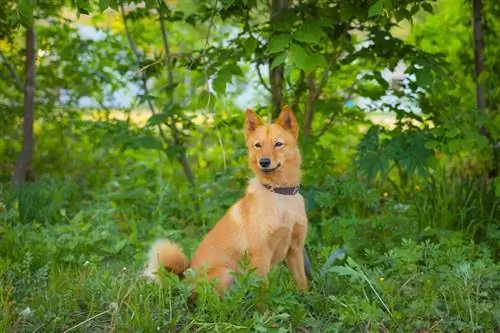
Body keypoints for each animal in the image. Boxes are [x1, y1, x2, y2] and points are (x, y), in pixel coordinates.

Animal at [143, 105, 308, 294]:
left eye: (278, 144)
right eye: (258, 145)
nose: (264, 162)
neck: (279, 194)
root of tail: (184, 279)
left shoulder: (295, 250)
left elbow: (302, 282)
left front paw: (308, 299)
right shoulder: (261, 256)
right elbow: (263, 291)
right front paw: (266, 303)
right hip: (227, 274)